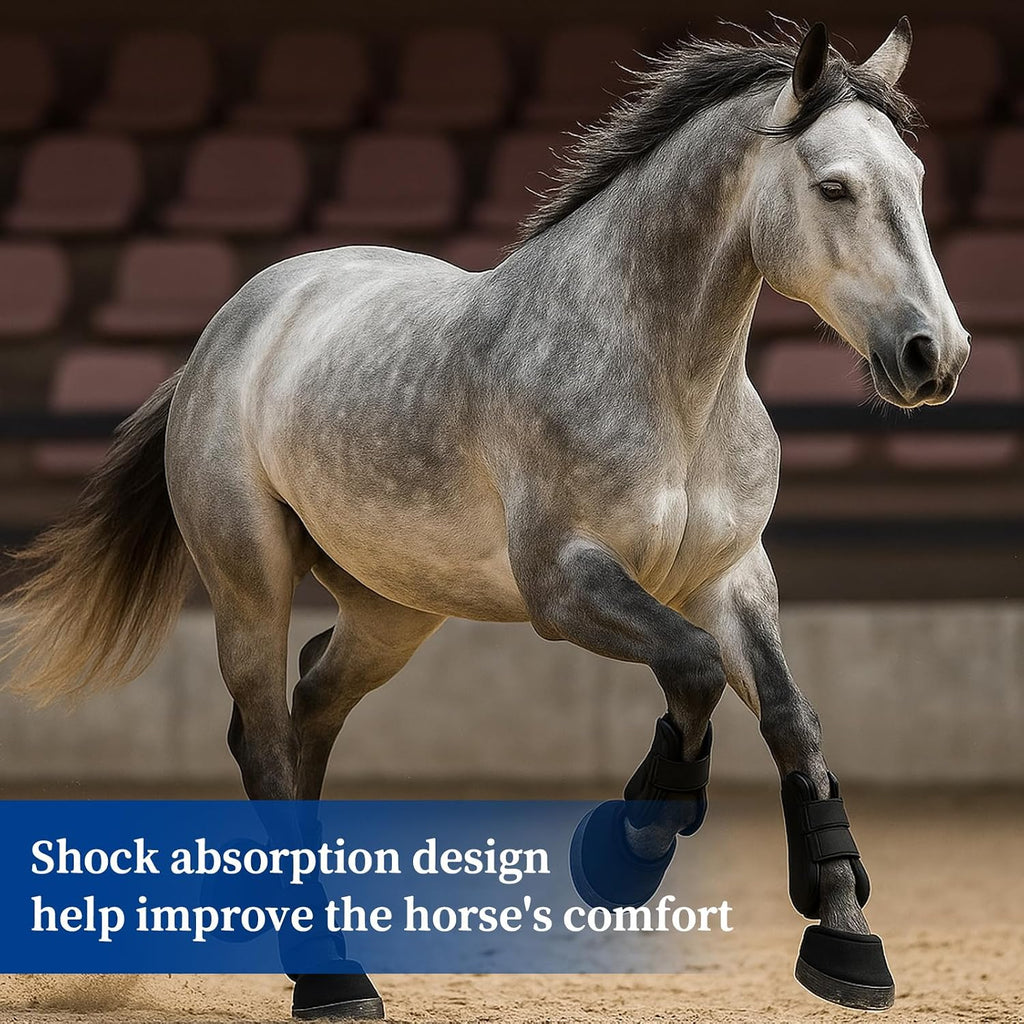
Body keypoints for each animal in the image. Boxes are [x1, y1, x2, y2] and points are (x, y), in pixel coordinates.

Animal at [2, 18, 969, 1018]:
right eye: (833, 186)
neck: (666, 383)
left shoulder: (731, 578)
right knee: (265, 736)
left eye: (916, 178)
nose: (933, 356)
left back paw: (300, 939)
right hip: (248, 581)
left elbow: (791, 719)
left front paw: (846, 941)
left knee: (308, 710)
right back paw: (330, 977)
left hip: (393, 610)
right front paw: (628, 850)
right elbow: (695, 670)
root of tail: (224, 334)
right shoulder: (564, 583)